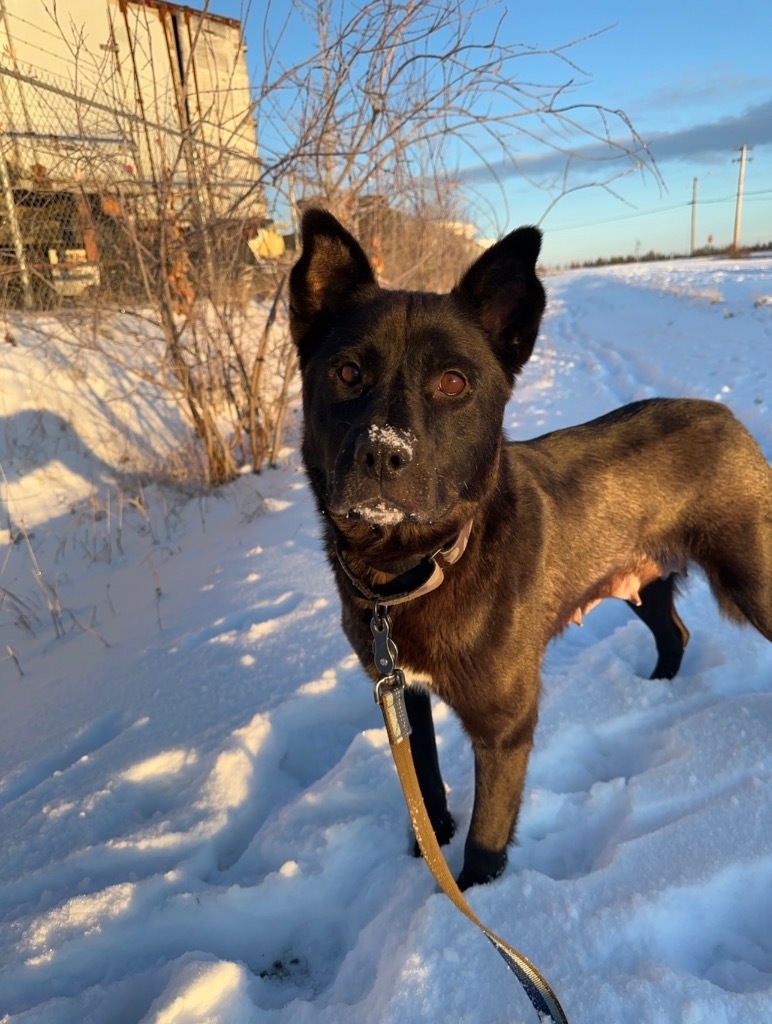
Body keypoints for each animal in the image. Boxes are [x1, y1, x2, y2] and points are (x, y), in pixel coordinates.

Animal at [288, 207, 769, 888]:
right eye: (347, 373)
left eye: (453, 382)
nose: (383, 453)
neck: (420, 567)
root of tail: (726, 416)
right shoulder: (404, 695)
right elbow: (426, 786)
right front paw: (428, 848)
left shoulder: (505, 727)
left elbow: (487, 838)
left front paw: (472, 898)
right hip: (642, 584)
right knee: (675, 633)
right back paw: (657, 693)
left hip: (754, 577)